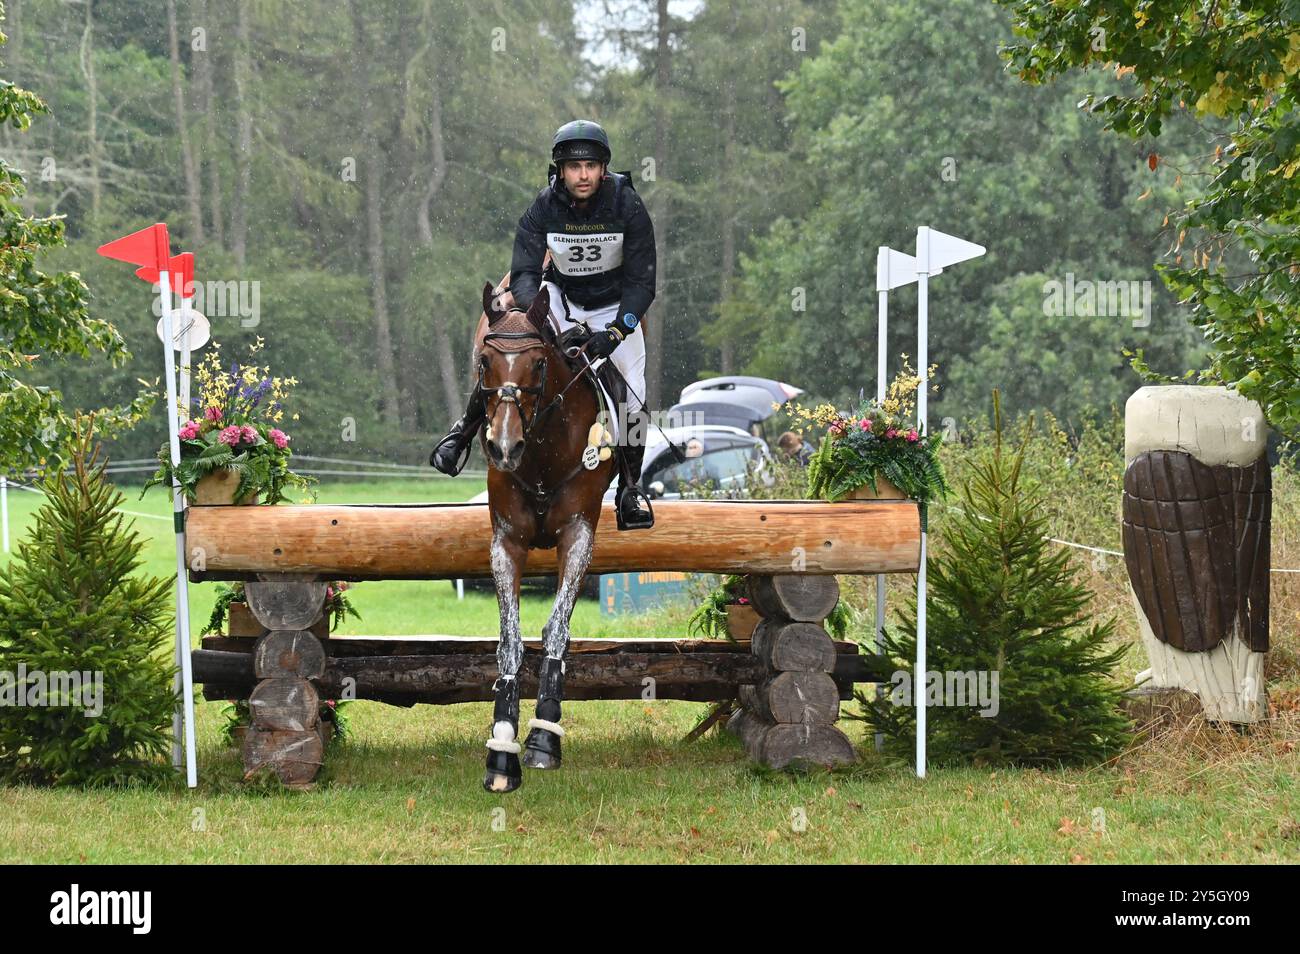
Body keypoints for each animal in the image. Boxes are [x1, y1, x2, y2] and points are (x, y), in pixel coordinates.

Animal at [473, 279, 617, 793]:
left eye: (538, 363)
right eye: (484, 362)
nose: (503, 447)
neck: (539, 451)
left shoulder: (578, 535)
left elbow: (556, 629)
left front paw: (542, 737)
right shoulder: (506, 543)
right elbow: (509, 640)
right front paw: (501, 748)